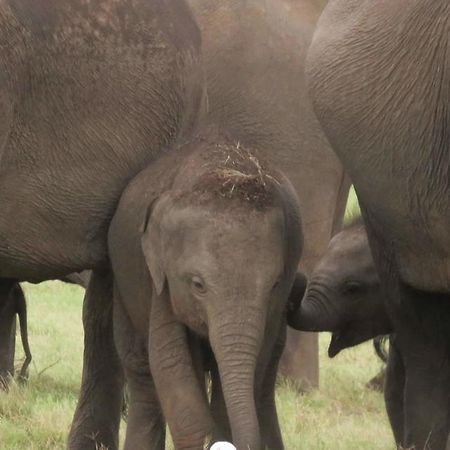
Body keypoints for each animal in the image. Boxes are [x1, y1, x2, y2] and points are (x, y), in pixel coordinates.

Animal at [108, 127, 302, 450]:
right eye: (197, 285)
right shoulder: (160, 277)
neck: (225, 171)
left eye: (274, 286)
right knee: (143, 375)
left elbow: (255, 361)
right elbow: (169, 359)